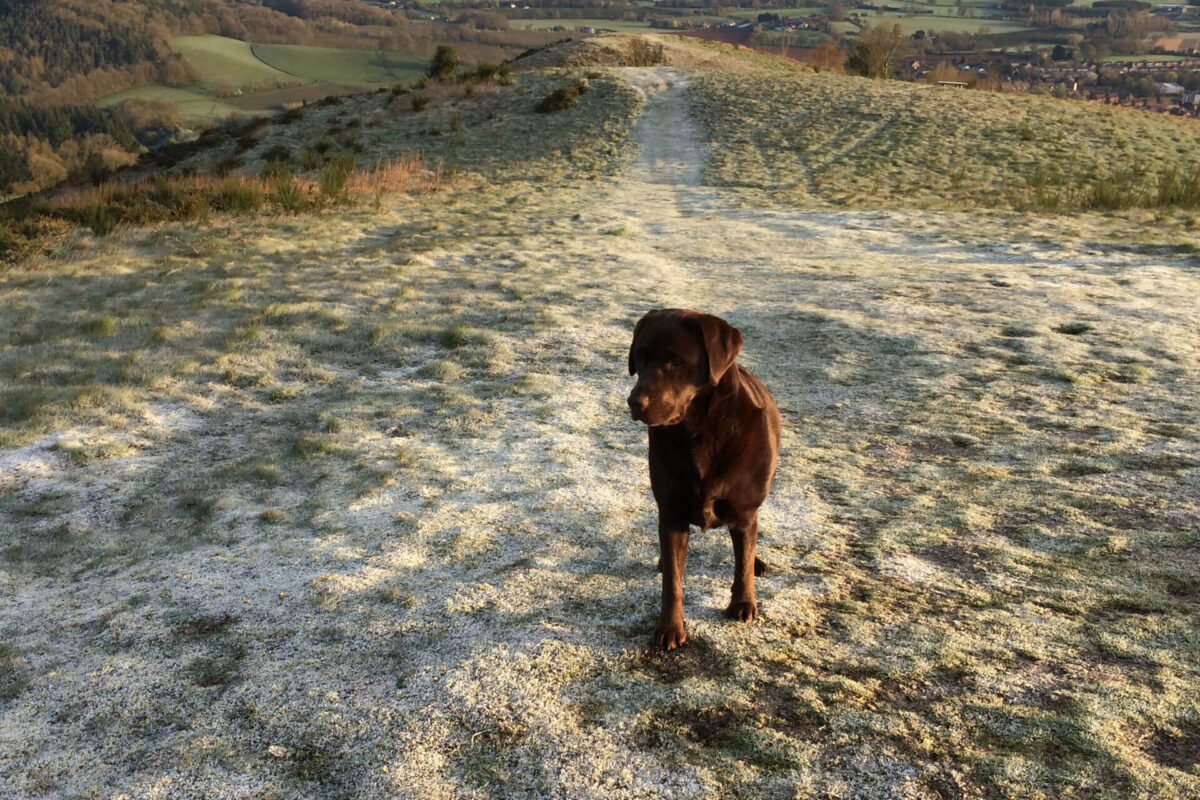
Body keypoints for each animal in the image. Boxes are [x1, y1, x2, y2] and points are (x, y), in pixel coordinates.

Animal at [628, 307, 787, 652]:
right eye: (641, 359)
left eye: (676, 362)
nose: (634, 402)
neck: (698, 433)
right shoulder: (671, 514)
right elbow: (672, 582)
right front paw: (670, 627)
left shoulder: (744, 512)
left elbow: (742, 564)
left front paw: (743, 603)